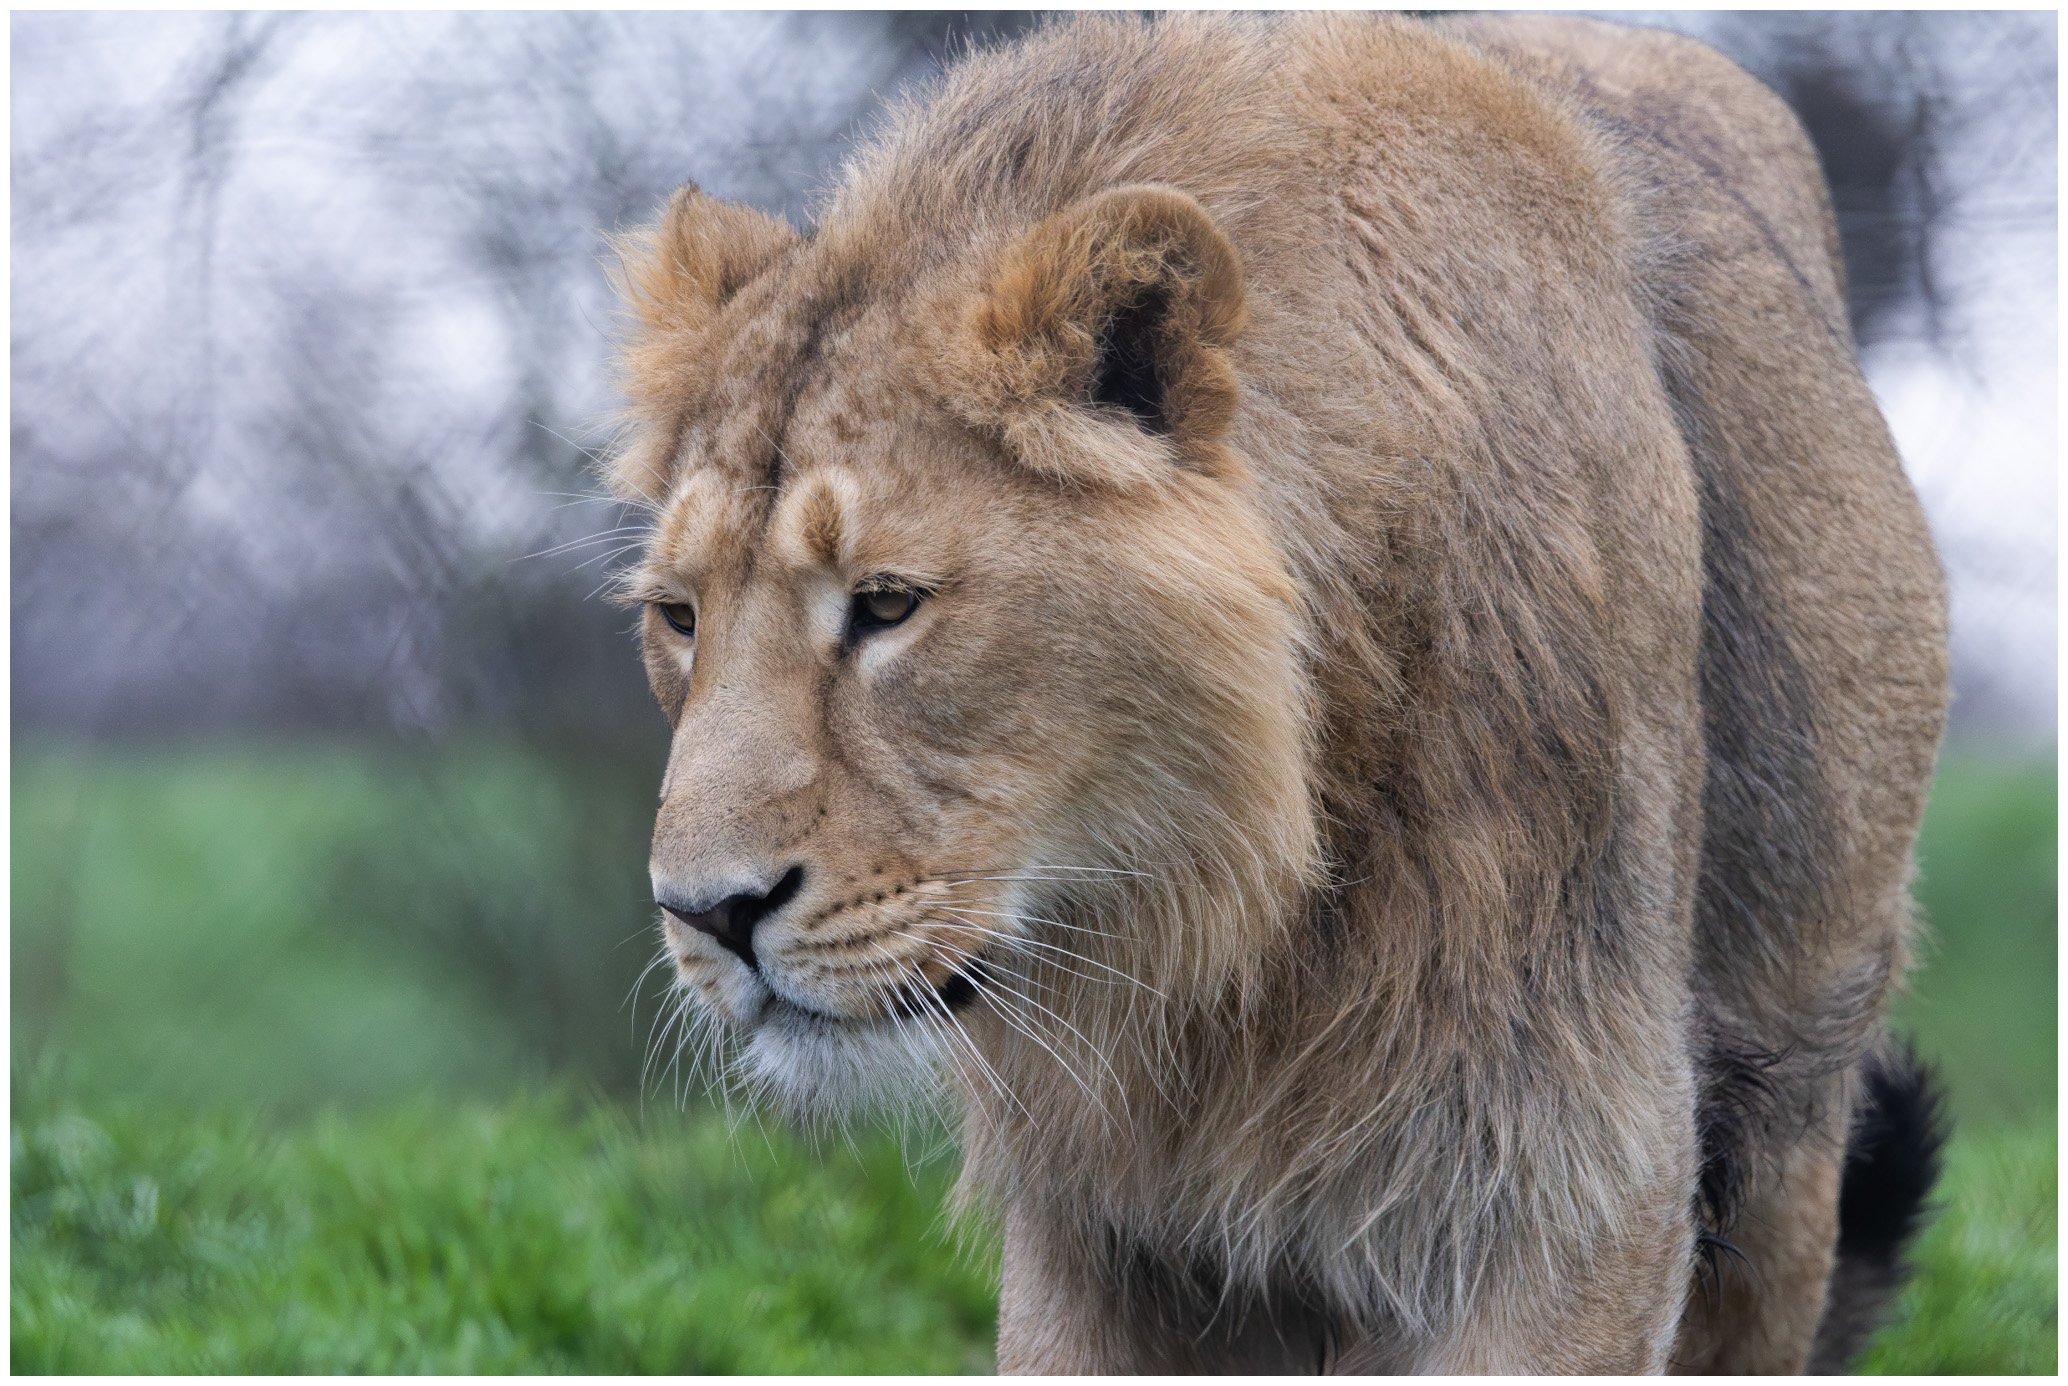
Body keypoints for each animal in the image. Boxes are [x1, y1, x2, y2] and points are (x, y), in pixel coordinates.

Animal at [603, 13, 1949, 1373]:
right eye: (681, 617)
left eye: (885, 606)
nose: (708, 913)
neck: (1228, 923)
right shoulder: (1092, 1213)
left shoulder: (1586, 1164)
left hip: (1792, 1115)